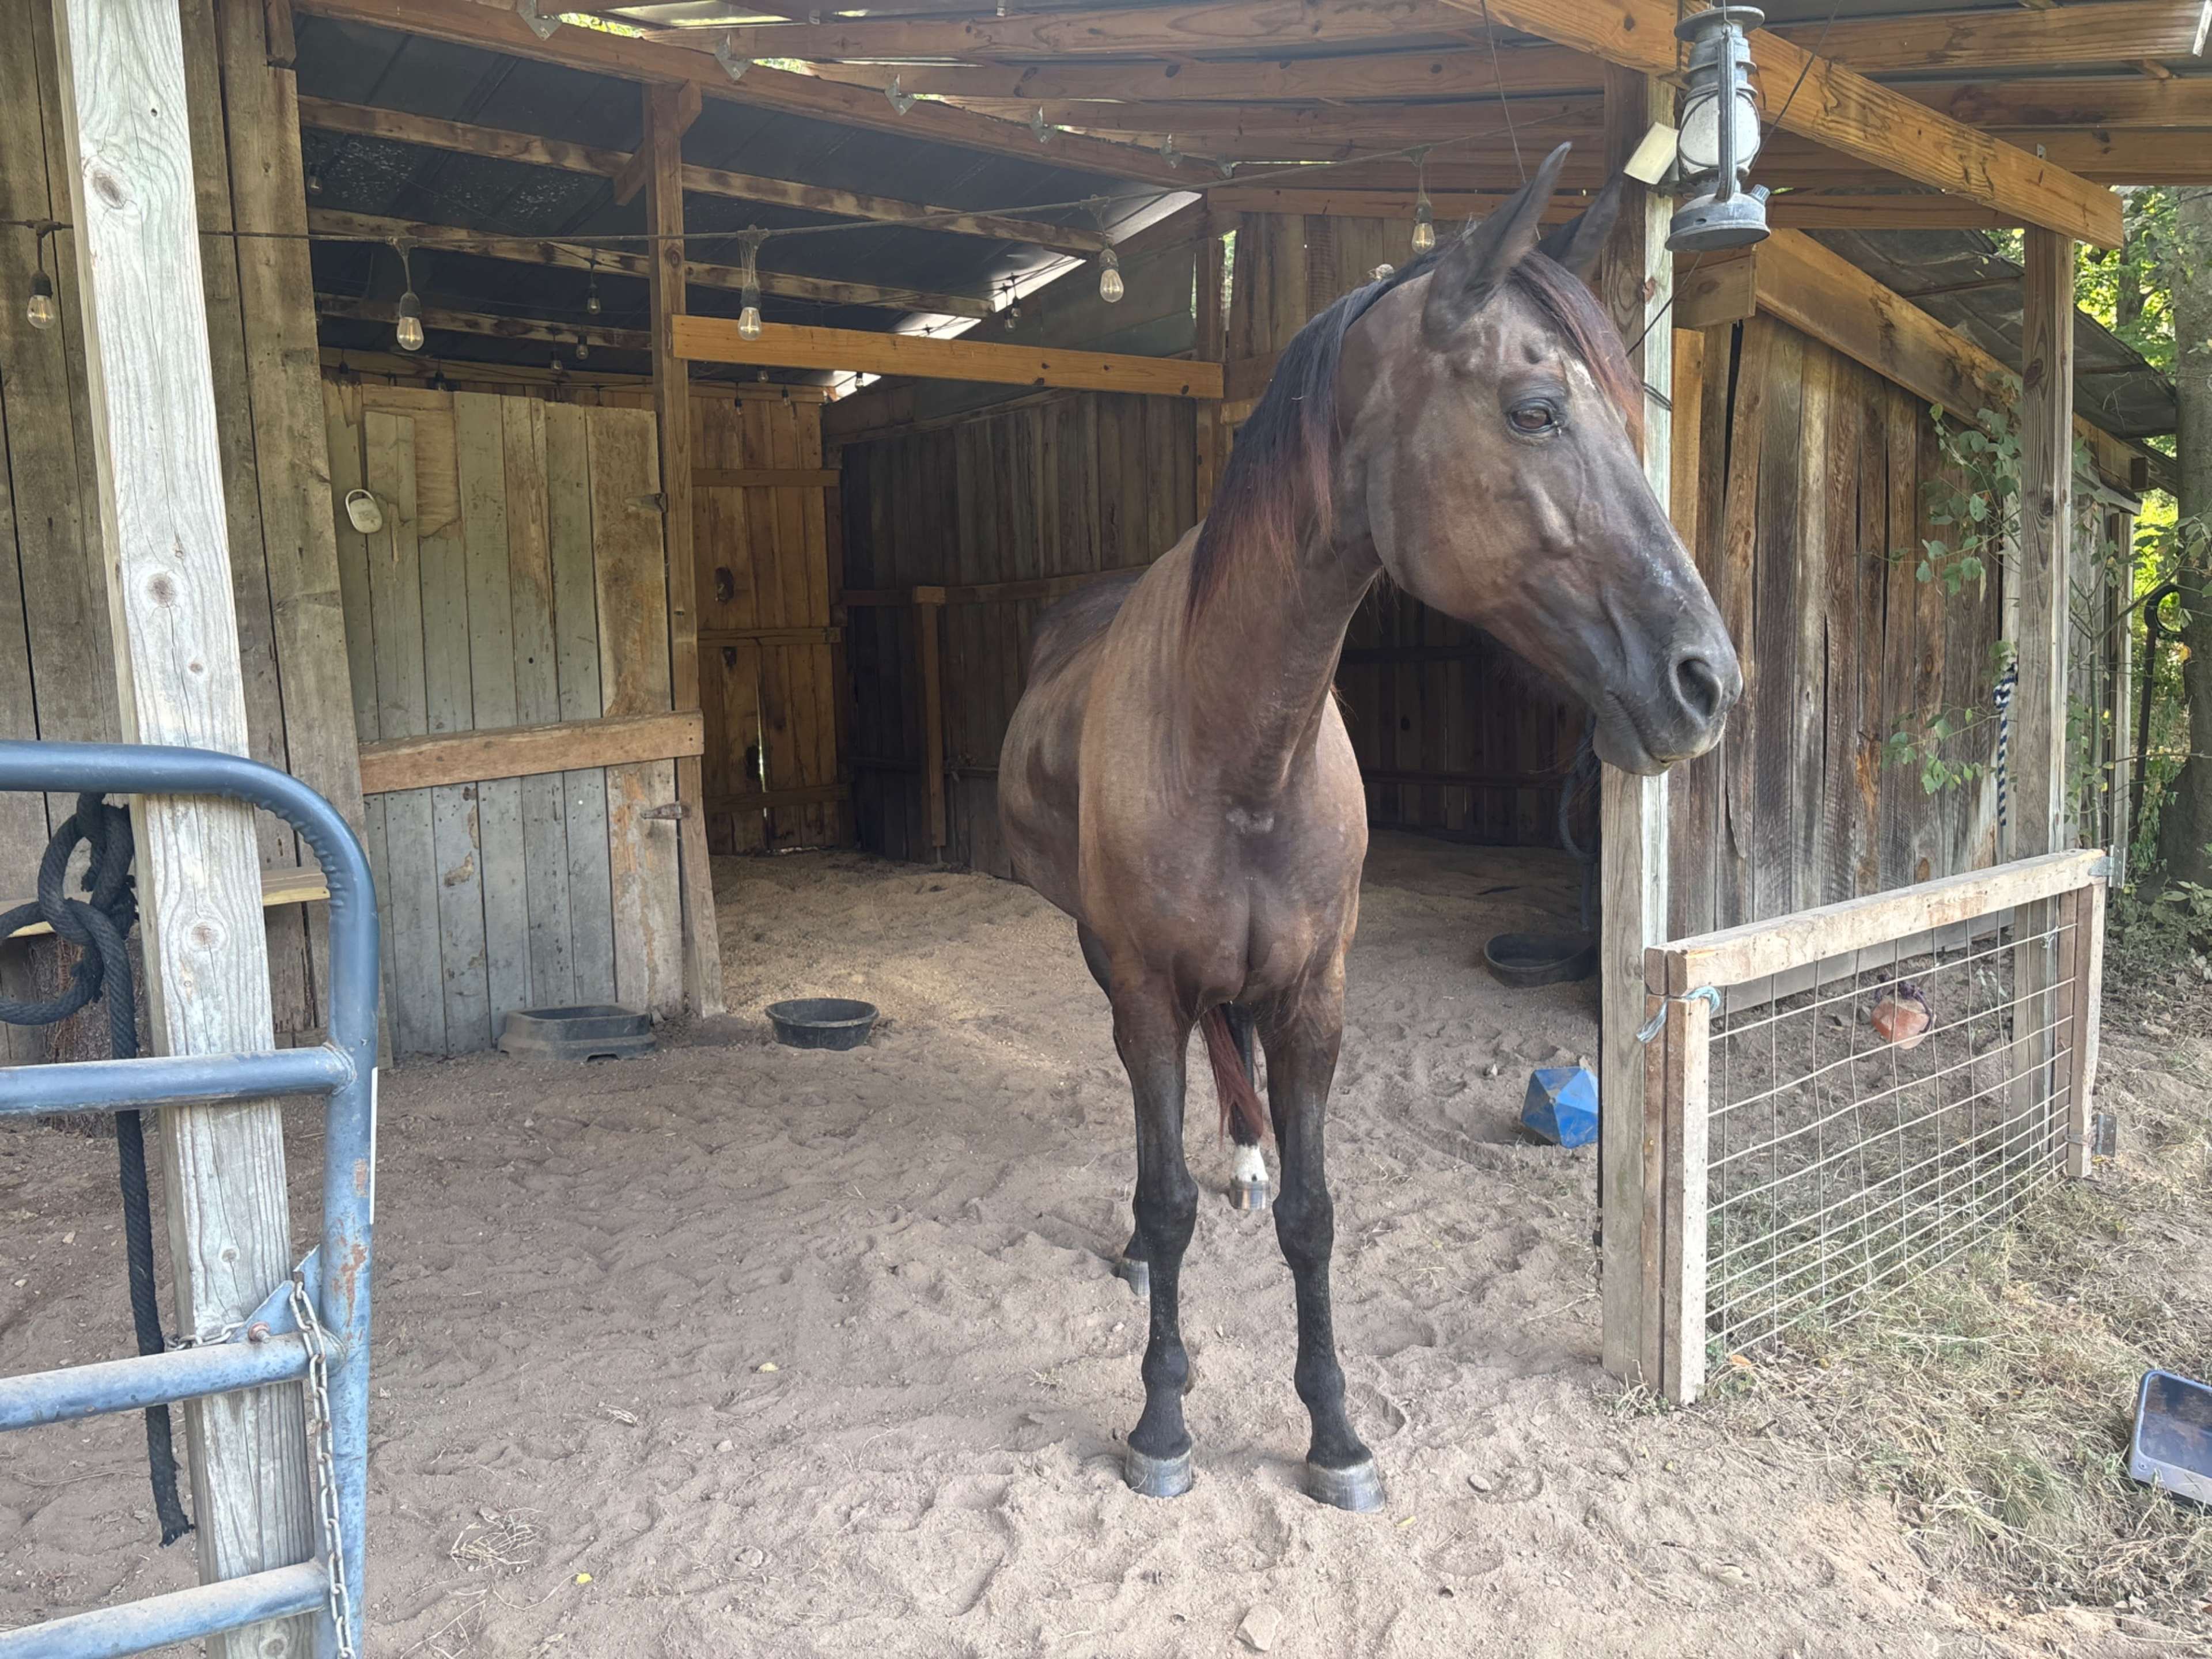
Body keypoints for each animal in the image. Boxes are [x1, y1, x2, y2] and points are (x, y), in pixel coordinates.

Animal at [996, 144, 1742, 1511]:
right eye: (1534, 411)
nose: (1707, 682)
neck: (1237, 742)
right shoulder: (1144, 984)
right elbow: (1165, 1195)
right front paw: (1163, 1419)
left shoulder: (1314, 994)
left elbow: (1315, 1213)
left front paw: (1335, 1430)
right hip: (1103, 959)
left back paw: (1243, 1154)